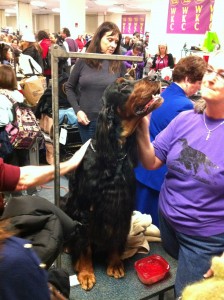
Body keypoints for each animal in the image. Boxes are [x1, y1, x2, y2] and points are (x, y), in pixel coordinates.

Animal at [60, 77, 164, 290]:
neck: (114, 155)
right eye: (123, 85)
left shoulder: (122, 207)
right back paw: (67, 246)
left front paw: (115, 264)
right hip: (65, 202)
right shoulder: (86, 210)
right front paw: (85, 273)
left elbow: (116, 239)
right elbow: (84, 245)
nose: (156, 76)